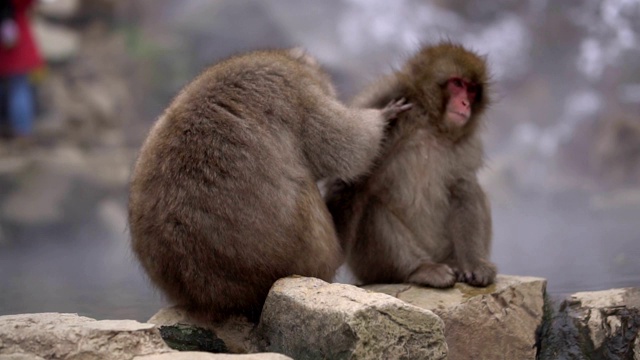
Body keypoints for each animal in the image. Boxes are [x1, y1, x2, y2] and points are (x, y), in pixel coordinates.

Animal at [127, 48, 412, 324]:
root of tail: (216, 298)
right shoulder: (299, 93)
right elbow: (351, 148)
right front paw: (385, 116)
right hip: (306, 253)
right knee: (306, 189)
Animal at [328, 42, 498, 288]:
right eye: (457, 84)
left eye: (472, 89)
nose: (465, 103)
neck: (430, 121)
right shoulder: (385, 98)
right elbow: (348, 182)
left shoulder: (467, 142)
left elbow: (461, 184)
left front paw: (474, 264)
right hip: (370, 267)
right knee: (369, 200)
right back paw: (421, 269)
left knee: (469, 188)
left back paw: (459, 264)